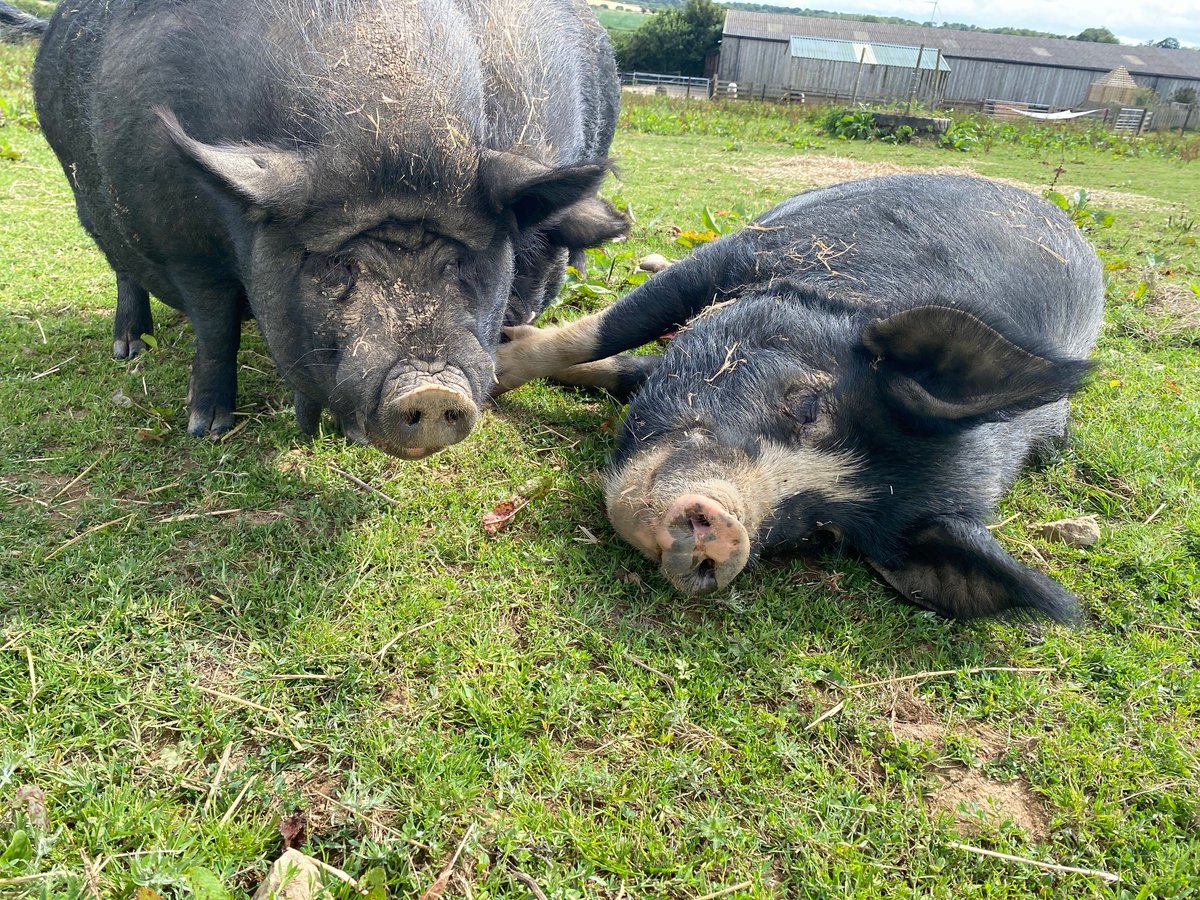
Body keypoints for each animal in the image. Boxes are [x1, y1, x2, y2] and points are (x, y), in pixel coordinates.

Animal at [4, 0, 626, 456]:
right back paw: (128, 348)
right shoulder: (188, 249)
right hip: (86, 199)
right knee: (123, 271)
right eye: (338, 263)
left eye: (461, 261)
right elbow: (215, 324)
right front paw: (207, 428)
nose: (428, 389)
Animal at [495, 174, 1104, 622]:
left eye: (824, 535)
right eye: (808, 405)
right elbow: (606, 329)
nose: (731, 534)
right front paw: (496, 366)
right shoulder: (744, 257)